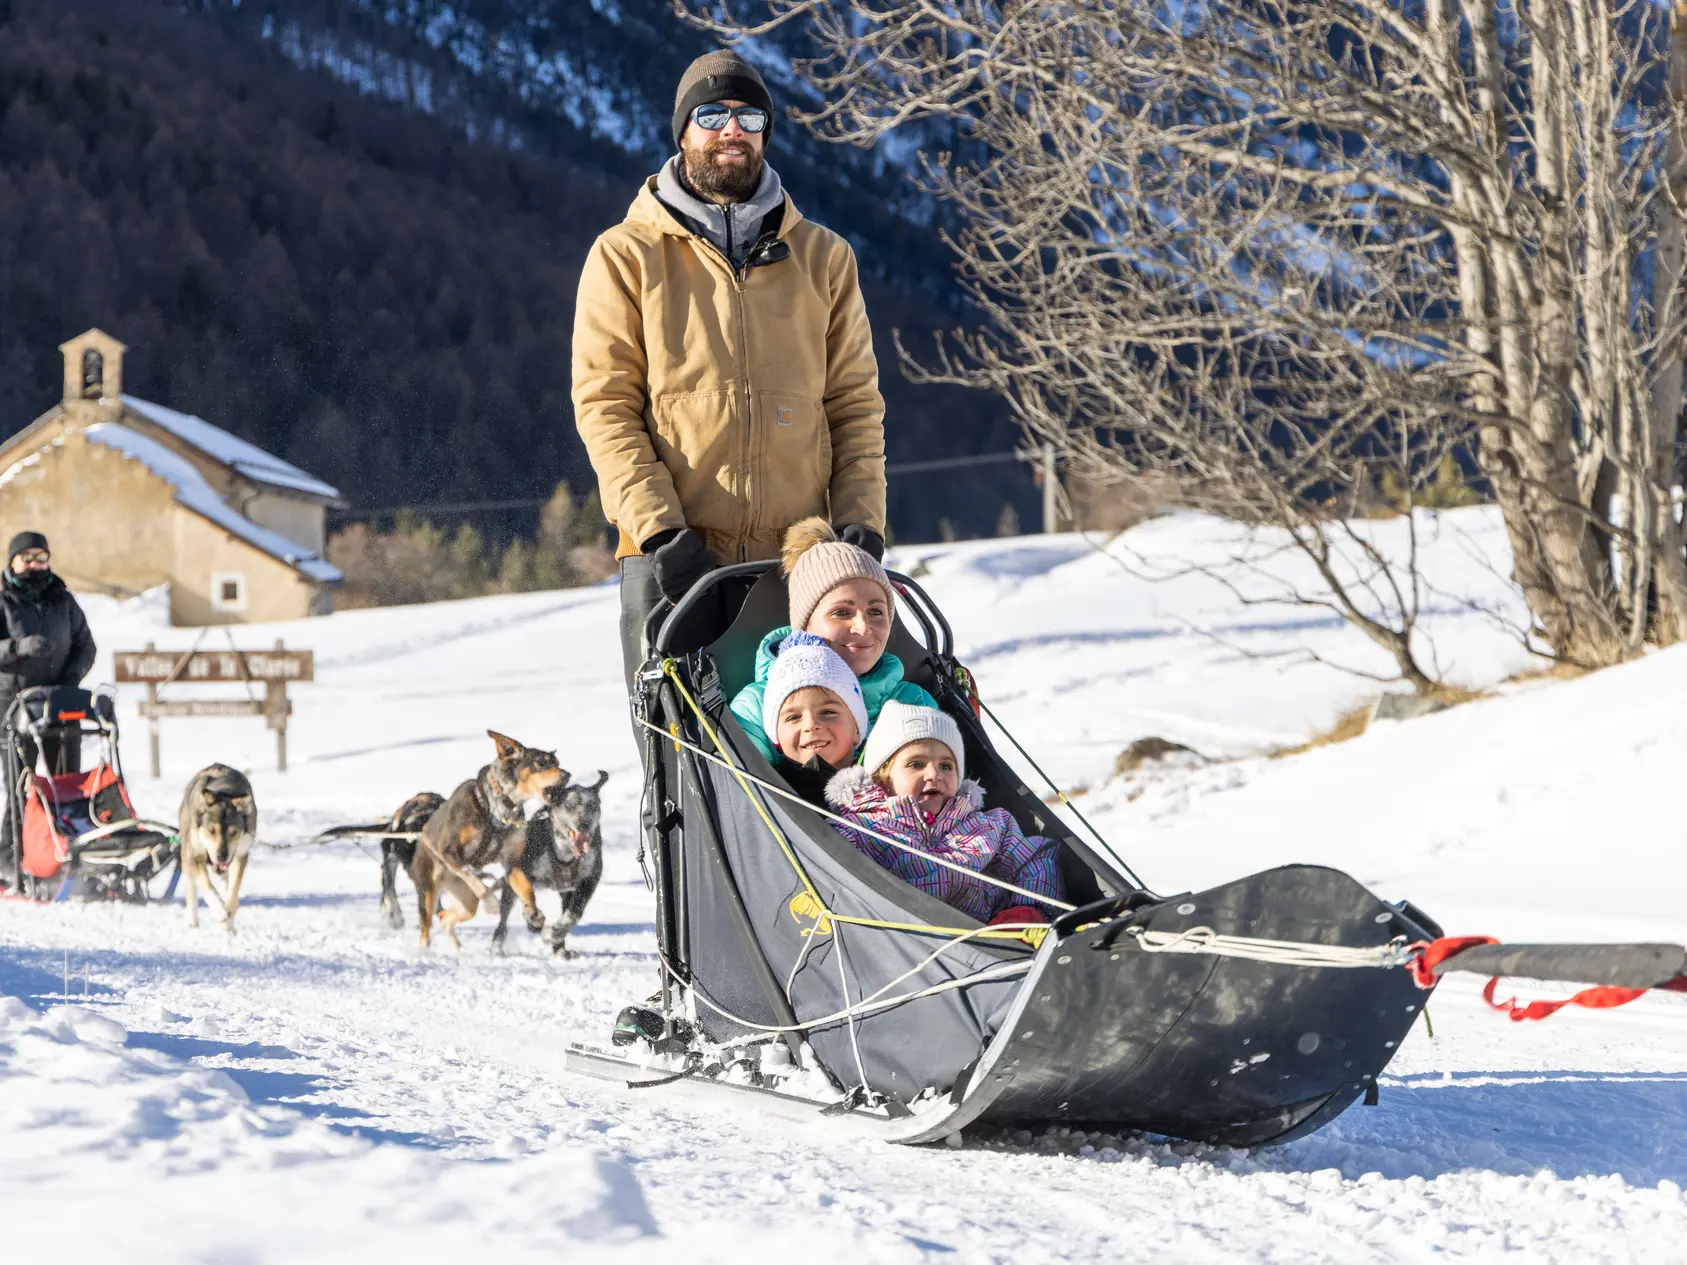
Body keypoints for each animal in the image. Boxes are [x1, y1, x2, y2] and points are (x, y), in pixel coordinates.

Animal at [179, 762, 258, 931]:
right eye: (211, 830)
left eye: (234, 832)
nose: (221, 855)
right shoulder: (194, 855)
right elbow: (205, 884)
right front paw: (220, 911)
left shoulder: (240, 856)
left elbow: (233, 892)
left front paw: (228, 924)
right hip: (186, 855)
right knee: (192, 887)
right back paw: (193, 921)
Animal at [413, 732, 566, 951]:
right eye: (541, 762)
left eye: (557, 763)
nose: (567, 775)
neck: (499, 809)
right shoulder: (448, 851)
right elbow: (476, 881)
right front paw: (492, 903)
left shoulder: (512, 863)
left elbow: (527, 889)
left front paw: (533, 913)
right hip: (428, 892)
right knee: (426, 930)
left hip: (466, 902)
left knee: (445, 919)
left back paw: (459, 949)